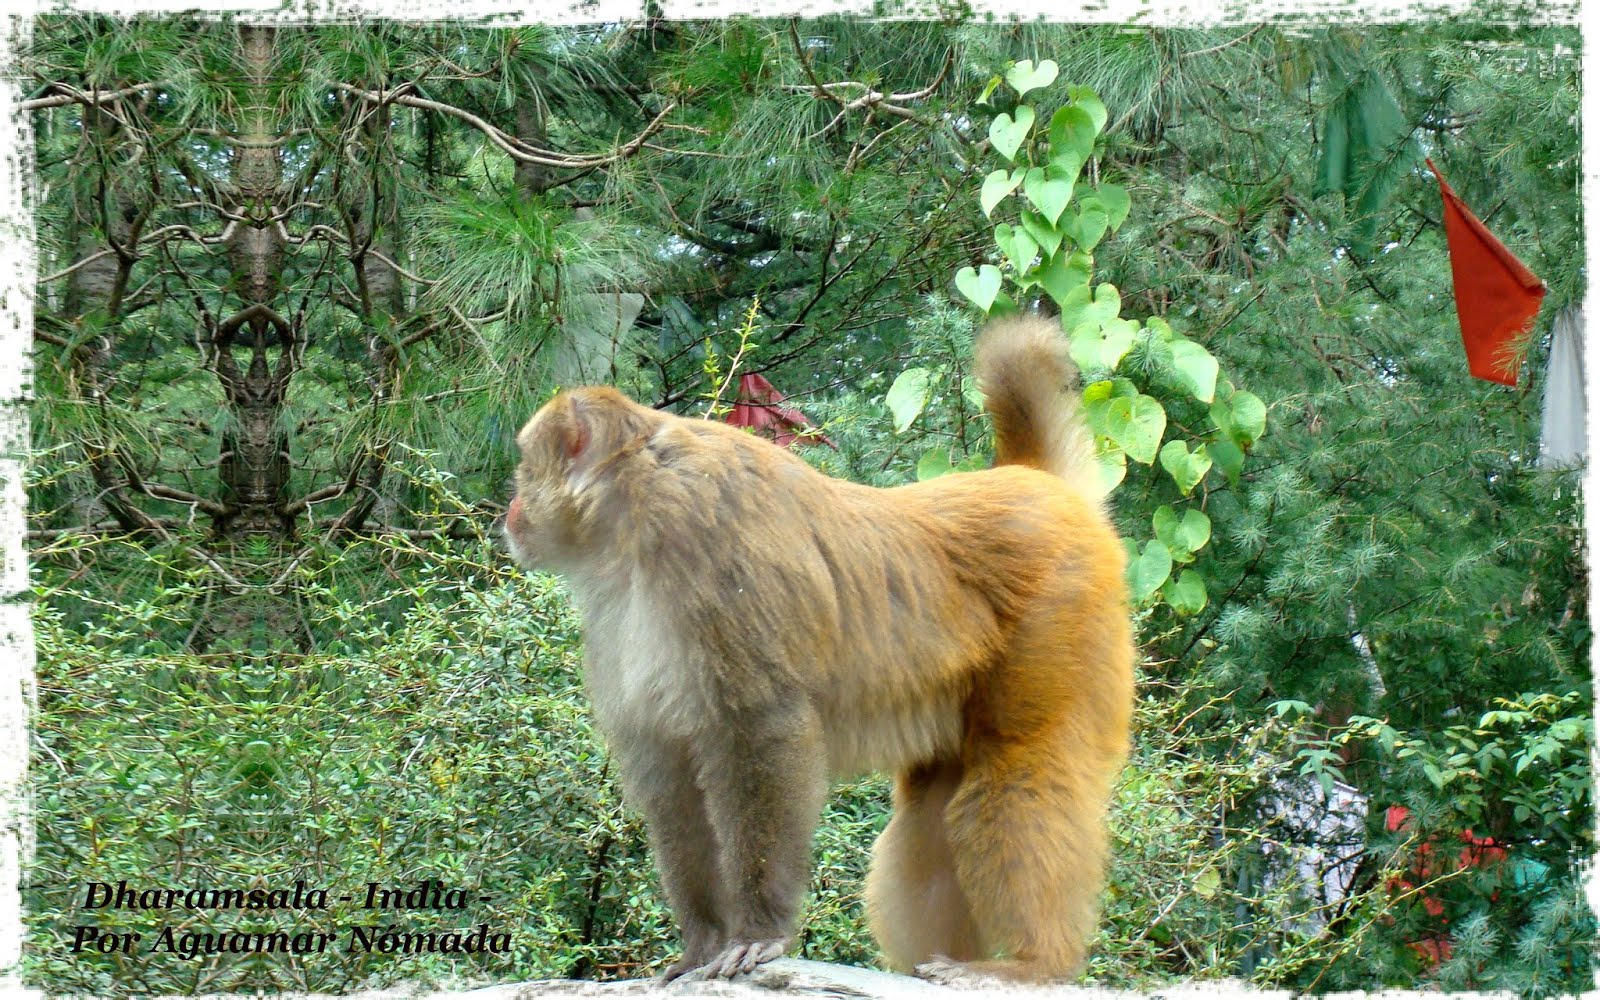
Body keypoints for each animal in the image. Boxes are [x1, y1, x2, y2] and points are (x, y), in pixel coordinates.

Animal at [505, 313, 1132, 985]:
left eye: (524, 465)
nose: (510, 508)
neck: (633, 507)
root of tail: (1034, 481)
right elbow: (668, 772)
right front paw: (701, 944)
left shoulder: (712, 556)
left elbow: (764, 730)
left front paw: (758, 933)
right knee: (932, 812)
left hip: (1064, 613)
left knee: (1016, 770)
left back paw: (1036, 964)